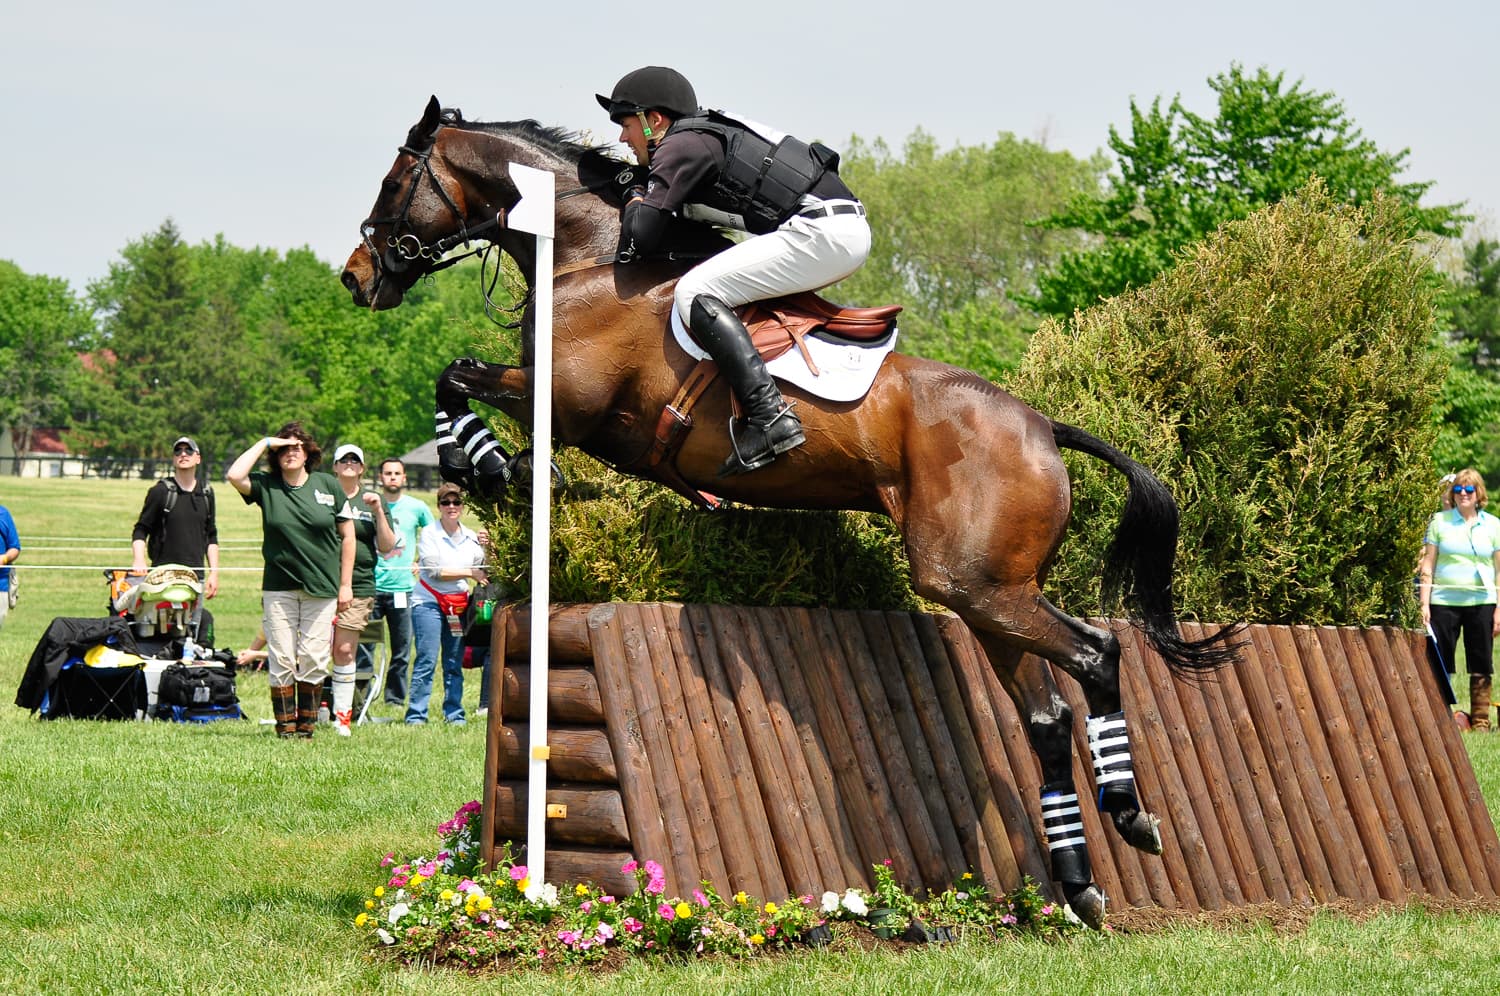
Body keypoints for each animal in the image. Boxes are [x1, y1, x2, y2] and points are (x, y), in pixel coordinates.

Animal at [341, 96, 1240, 927]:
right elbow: (459, 379)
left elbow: (458, 376)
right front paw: (500, 464)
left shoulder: (568, 399)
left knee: (1096, 653)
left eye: (393, 182)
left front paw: (490, 465)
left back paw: (1131, 815)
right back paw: (1079, 882)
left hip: (973, 582)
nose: (355, 276)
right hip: (988, 591)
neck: (586, 256)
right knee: (1047, 716)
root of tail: (1043, 426)